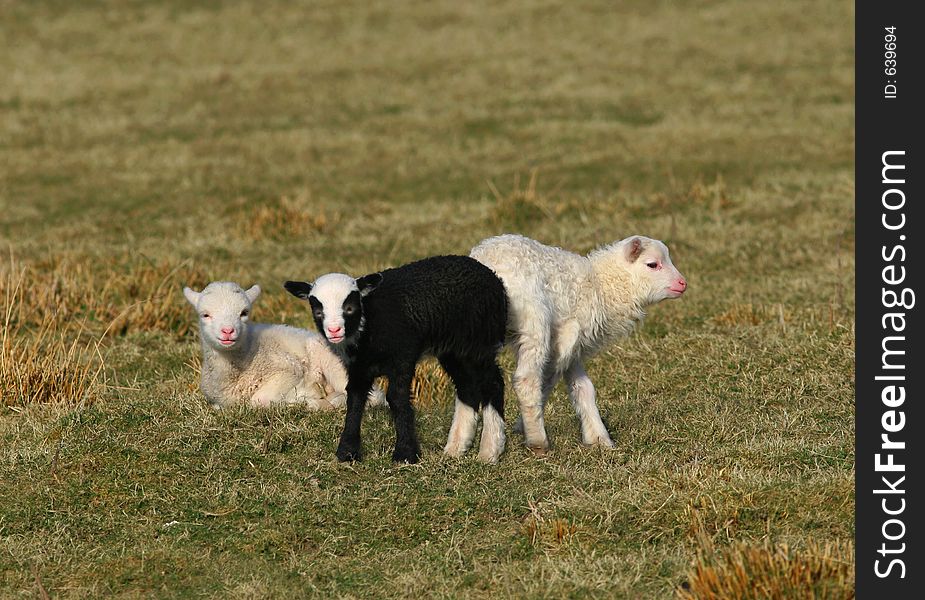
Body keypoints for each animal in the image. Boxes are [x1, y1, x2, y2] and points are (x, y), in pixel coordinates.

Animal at [184, 284, 354, 410]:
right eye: (205, 315)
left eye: (244, 313)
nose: (227, 331)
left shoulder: (289, 369)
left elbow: (260, 399)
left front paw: (305, 397)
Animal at [470, 234, 684, 454]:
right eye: (652, 264)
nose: (682, 283)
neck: (602, 287)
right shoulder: (565, 337)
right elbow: (547, 382)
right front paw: (521, 427)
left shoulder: (573, 349)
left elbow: (583, 388)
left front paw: (599, 438)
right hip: (534, 323)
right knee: (526, 381)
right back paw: (537, 442)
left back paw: (482, 448)